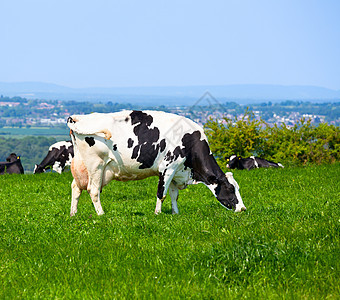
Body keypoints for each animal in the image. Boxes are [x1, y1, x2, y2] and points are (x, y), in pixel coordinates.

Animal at [67, 110, 247, 216]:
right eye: (230, 189)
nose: (243, 209)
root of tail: (78, 117)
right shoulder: (167, 167)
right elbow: (162, 193)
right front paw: (158, 214)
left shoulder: (176, 171)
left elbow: (174, 194)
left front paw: (175, 213)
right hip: (96, 165)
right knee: (93, 190)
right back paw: (101, 214)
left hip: (82, 166)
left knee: (76, 188)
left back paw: (73, 214)